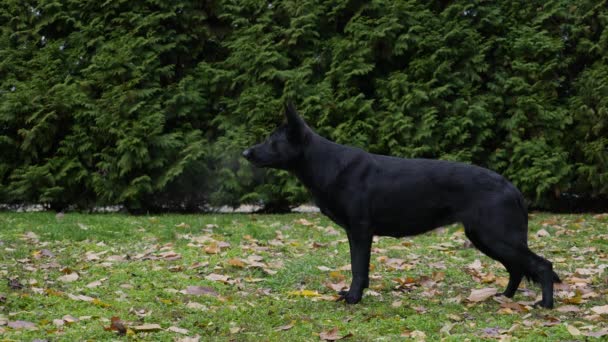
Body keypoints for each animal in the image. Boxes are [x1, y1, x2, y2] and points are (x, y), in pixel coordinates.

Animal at [243, 103, 560, 308]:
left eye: (272, 140)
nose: (245, 153)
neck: (326, 163)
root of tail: (512, 187)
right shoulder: (357, 233)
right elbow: (360, 267)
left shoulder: (360, 231)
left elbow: (358, 268)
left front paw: (353, 298)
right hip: (484, 237)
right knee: (517, 268)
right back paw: (504, 298)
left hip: (495, 236)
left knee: (542, 265)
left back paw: (545, 305)